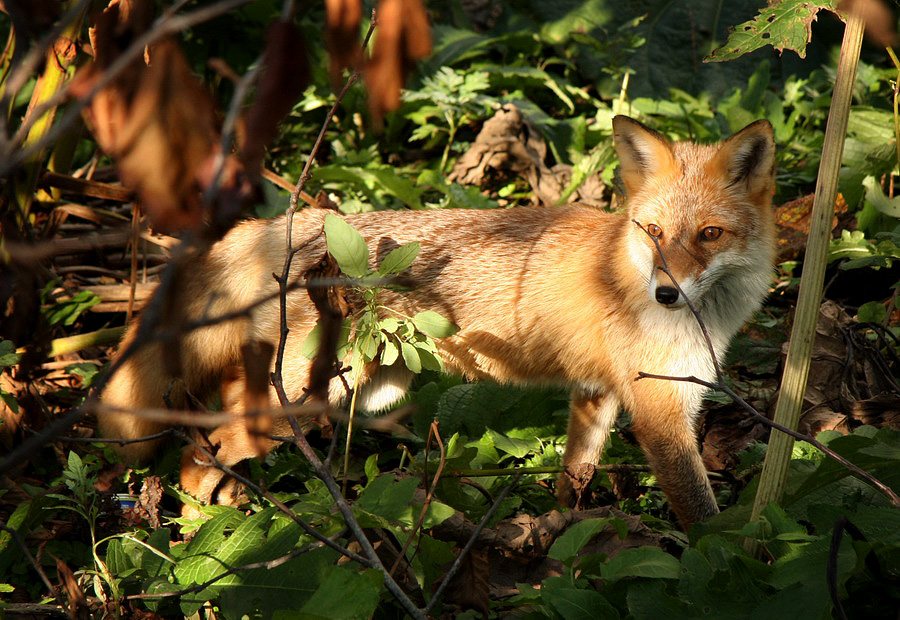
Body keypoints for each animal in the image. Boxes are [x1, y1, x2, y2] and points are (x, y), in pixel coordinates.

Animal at [96, 115, 772, 528]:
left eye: (709, 235)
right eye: (653, 232)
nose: (666, 293)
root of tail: (275, 227)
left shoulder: (597, 394)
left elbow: (573, 479)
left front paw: (565, 534)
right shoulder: (660, 414)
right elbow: (703, 519)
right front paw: (726, 557)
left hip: (370, 393)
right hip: (309, 398)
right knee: (197, 455)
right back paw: (202, 537)